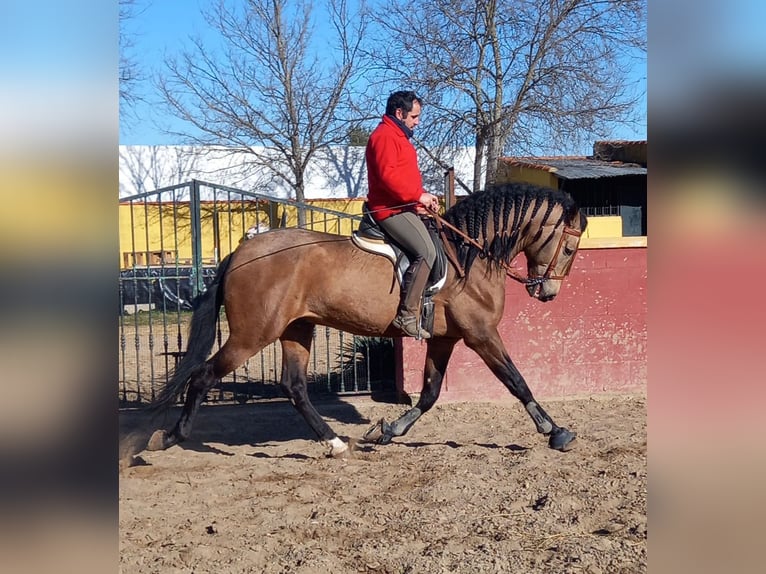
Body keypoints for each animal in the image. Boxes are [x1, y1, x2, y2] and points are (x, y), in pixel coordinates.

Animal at [148, 183, 588, 460]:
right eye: (569, 248)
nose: (547, 292)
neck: (470, 256)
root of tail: (240, 254)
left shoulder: (445, 339)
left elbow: (430, 394)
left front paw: (388, 431)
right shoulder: (481, 335)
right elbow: (516, 380)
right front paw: (556, 431)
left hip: (296, 330)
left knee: (294, 387)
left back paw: (336, 444)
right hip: (253, 334)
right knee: (203, 376)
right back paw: (168, 438)